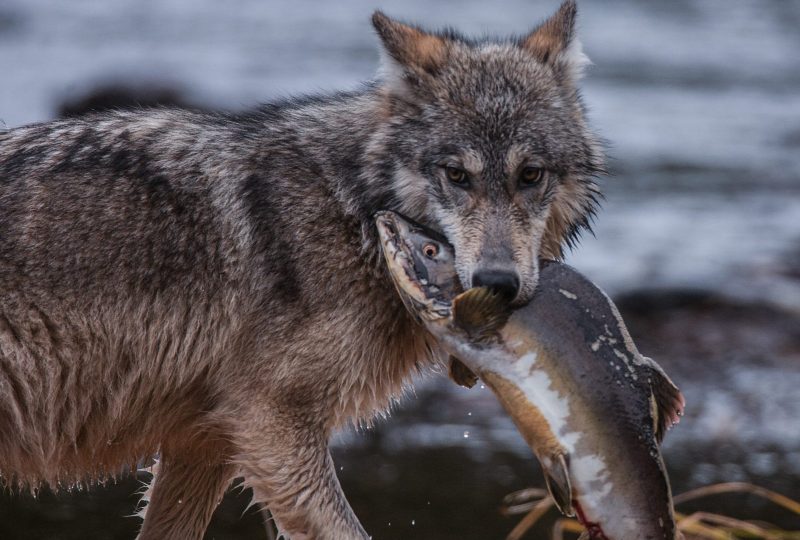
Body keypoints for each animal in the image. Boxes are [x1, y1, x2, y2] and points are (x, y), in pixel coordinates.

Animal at [0, 2, 600, 536]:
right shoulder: (272, 429)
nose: (497, 284)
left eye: (530, 175)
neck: (354, 212)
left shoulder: (204, 443)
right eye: (457, 175)